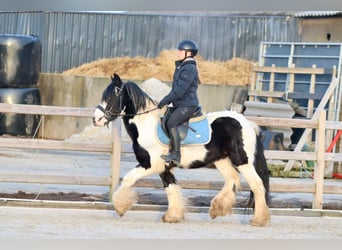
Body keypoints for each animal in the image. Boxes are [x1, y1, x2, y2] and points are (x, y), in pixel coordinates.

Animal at [92, 73, 272, 227]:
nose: (96, 119)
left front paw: (120, 207)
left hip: (242, 160)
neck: (146, 125)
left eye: (112, 95)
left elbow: (128, 179)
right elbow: (171, 188)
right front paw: (172, 216)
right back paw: (217, 209)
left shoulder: (151, 164)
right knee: (232, 180)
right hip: (222, 160)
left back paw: (259, 220)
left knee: (257, 184)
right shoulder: (164, 167)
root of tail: (248, 123)